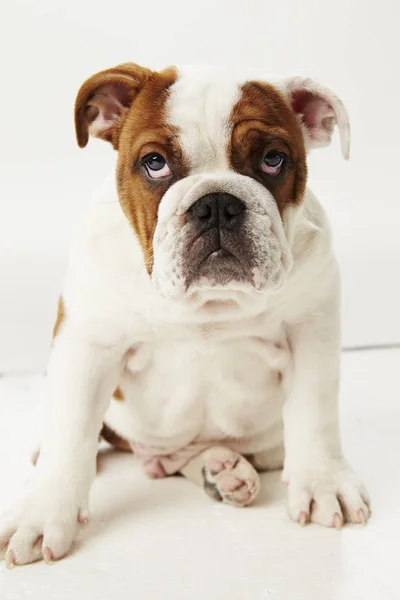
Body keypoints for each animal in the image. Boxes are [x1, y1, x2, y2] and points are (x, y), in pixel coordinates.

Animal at [0, 63, 370, 564]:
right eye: (155, 163)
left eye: (273, 159)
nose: (216, 204)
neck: (209, 303)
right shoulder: (87, 342)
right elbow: (70, 429)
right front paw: (42, 511)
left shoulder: (310, 328)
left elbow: (315, 411)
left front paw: (323, 481)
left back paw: (221, 468)